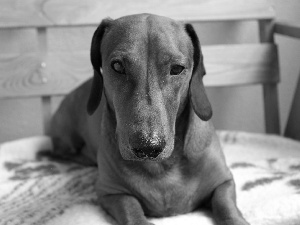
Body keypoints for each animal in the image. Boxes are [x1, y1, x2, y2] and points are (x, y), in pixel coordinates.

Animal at [48, 14, 248, 225]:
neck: (162, 167)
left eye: (177, 68)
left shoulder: (224, 182)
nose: (147, 147)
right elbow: (130, 208)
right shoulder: (110, 193)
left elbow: (225, 204)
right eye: (117, 66)